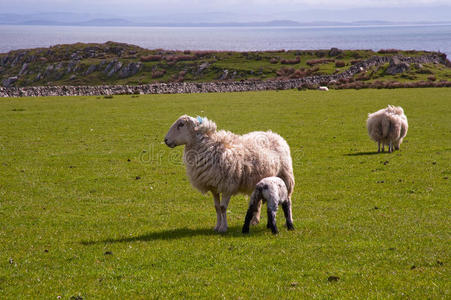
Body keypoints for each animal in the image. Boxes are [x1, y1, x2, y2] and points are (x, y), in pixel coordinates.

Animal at [164, 114, 294, 232]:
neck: (208, 147)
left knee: (288, 200)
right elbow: (216, 207)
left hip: (285, 176)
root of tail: (274, 134)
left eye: (181, 124)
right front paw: (217, 227)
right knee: (258, 202)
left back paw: (289, 222)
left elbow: (222, 207)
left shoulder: (228, 185)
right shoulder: (213, 186)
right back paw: (254, 221)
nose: (165, 140)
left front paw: (223, 228)